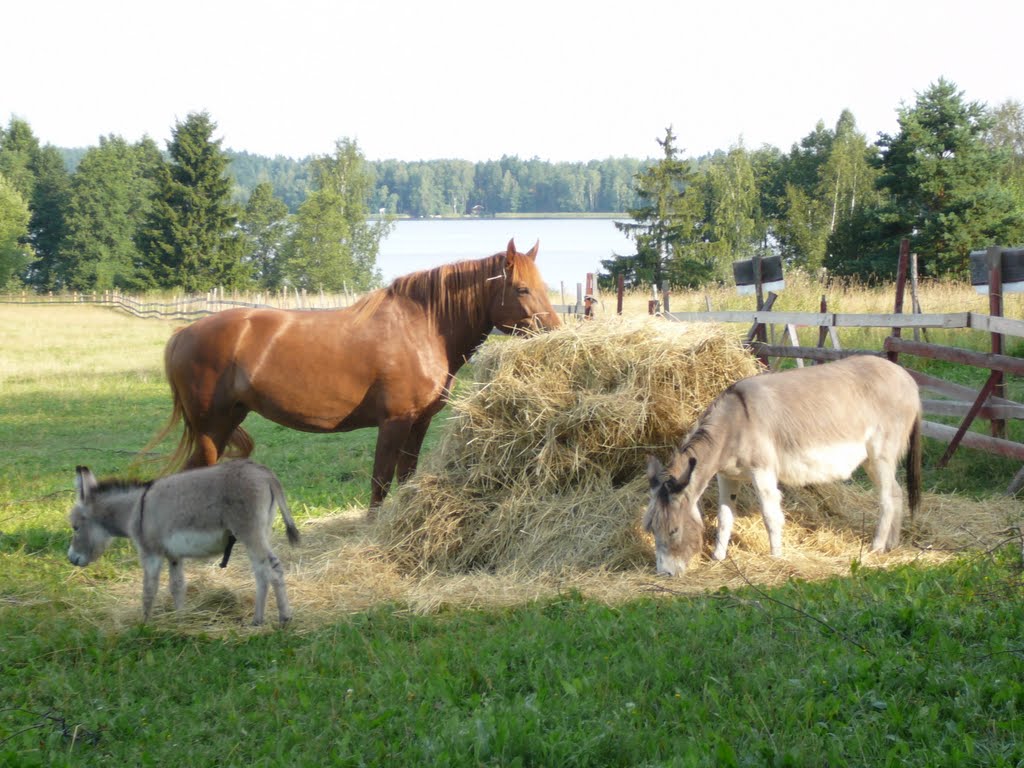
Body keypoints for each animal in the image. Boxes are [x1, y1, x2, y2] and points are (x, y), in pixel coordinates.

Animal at [149, 237, 561, 507]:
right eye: (521, 289)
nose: (556, 331)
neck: (421, 327)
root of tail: (182, 334)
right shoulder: (394, 422)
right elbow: (380, 484)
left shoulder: (419, 423)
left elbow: (405, 478)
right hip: (211, 427)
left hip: (224, 423)